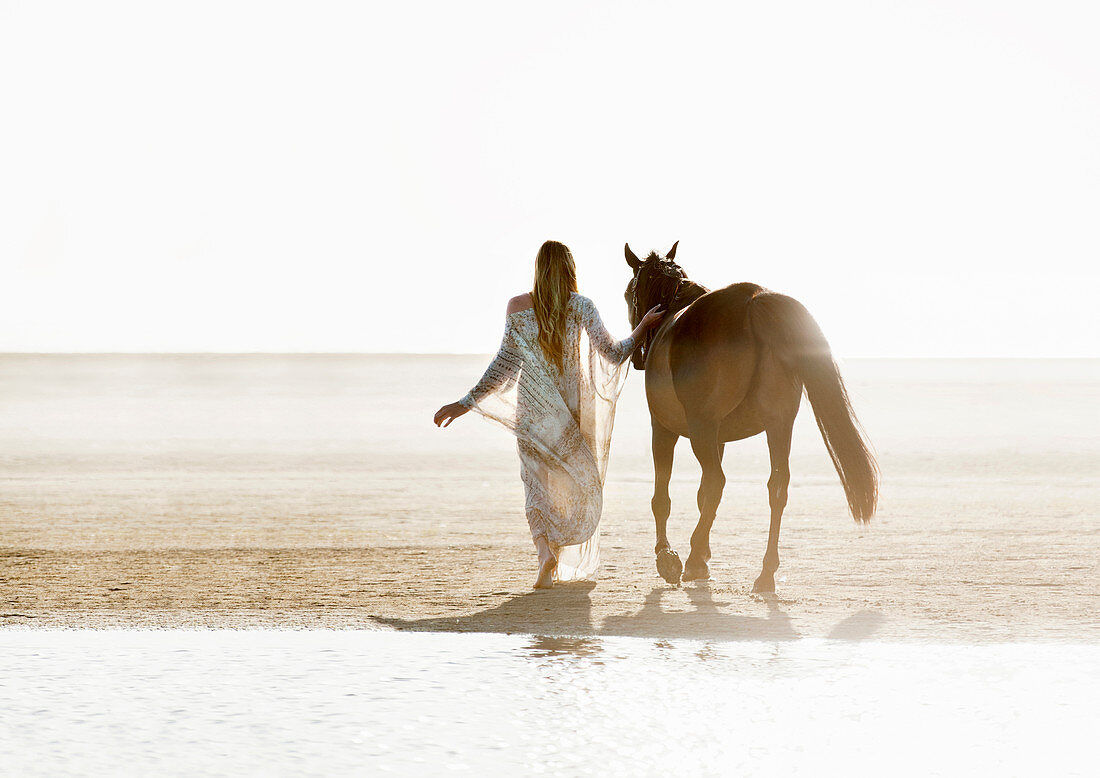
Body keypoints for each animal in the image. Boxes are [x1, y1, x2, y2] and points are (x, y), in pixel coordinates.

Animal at [629, 242, 875, 589]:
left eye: (631, 292)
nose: (637, 357)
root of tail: (752, 301)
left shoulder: (664, 429)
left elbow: (663, 498)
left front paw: (668, 557)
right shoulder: (718, 438)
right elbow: (702, 496)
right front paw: (702, 557)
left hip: (703, 428)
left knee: (718, 481)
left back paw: (692, 559)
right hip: (778, 425)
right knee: (776, 486)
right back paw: (765, 571)